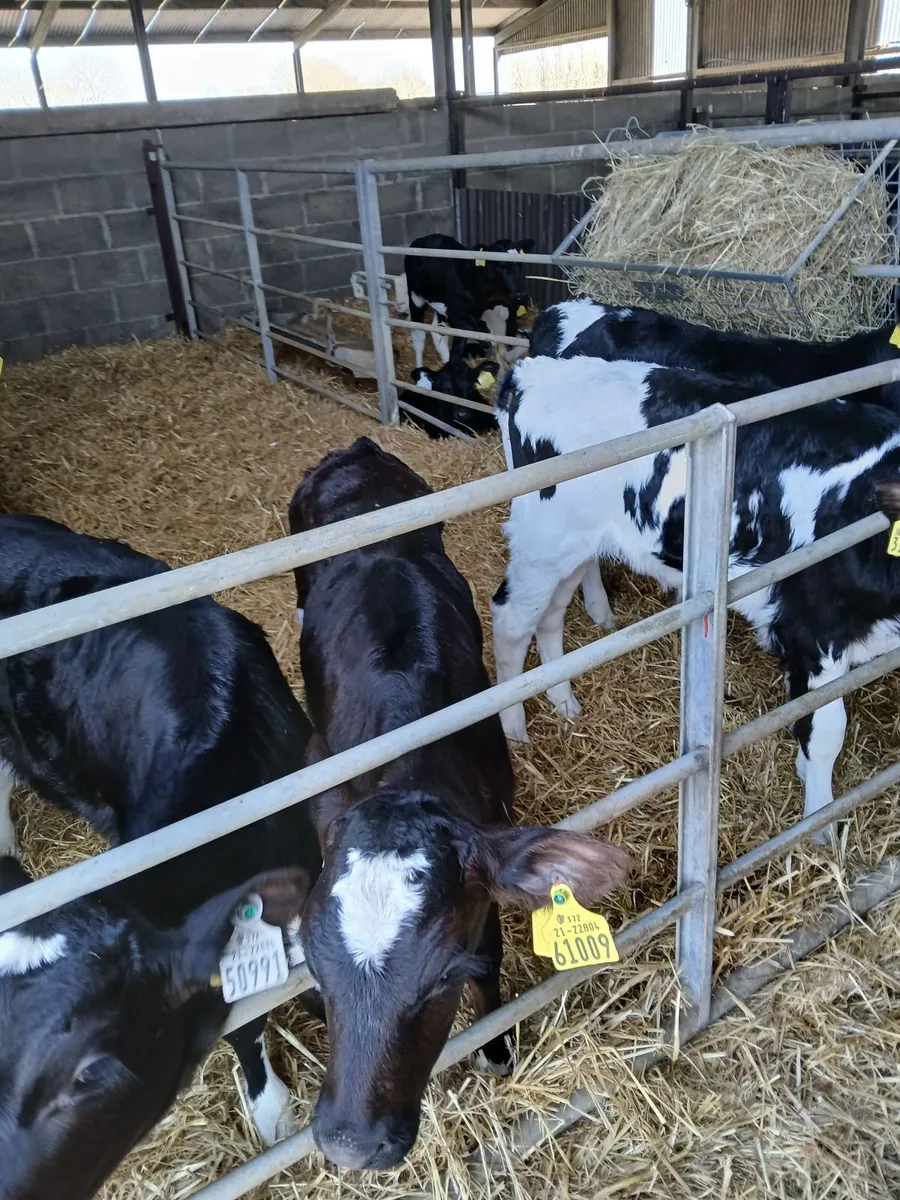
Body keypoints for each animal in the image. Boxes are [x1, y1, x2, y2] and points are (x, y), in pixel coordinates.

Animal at [404, 234, 533, 369]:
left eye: (520, 264)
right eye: (500, 266)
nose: (518, 294)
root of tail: (424, 238)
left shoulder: (474, 311)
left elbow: (465, 337)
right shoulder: (457, 312)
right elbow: (480, 333)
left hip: (440, 304)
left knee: (438, 330)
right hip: (415, 297)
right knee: (418, 335)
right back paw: (419, 366)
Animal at [490, 354, 900, 844]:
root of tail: (533, 371)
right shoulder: (814, 627)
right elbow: (825, 729)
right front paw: (819, 824)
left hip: (574, 548)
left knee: (550, 614)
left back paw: (564, 702)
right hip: (542, 541)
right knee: (511, 621)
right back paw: (514, 728)